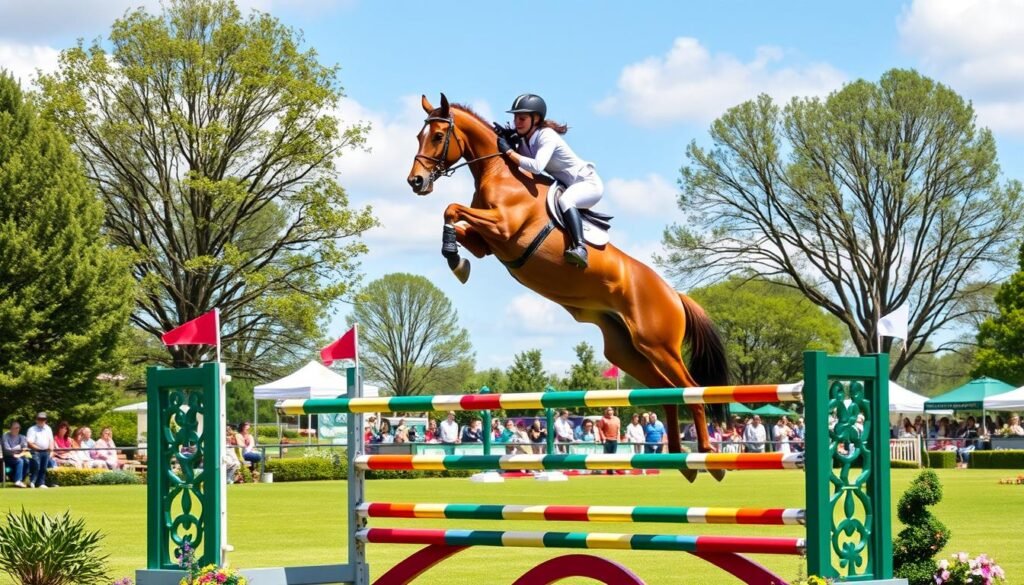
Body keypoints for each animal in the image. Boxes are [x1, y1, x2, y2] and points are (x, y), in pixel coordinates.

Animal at [403, 96, 733, 481]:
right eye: (419, 135)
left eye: (439, 136)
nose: (416, 181)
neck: (499, 173)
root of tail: (674, 295)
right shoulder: (488, 242)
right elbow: (454, 220)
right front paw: (457, 261)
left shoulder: (503, 228)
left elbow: (451, 208)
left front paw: (457, 261)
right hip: (628, 352)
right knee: (668, 391)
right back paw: (681, 460)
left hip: (659, 345)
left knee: (691, 389)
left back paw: (708, 456)